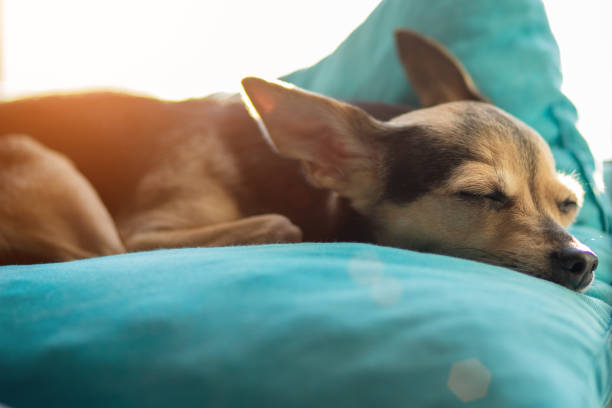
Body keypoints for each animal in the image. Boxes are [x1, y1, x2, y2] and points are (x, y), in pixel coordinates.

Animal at [0, 30, 596, 292]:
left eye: (568, 205)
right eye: (479, 196)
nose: (585, 260)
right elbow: (283, 224)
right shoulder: (144, 236)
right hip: (49, 168)